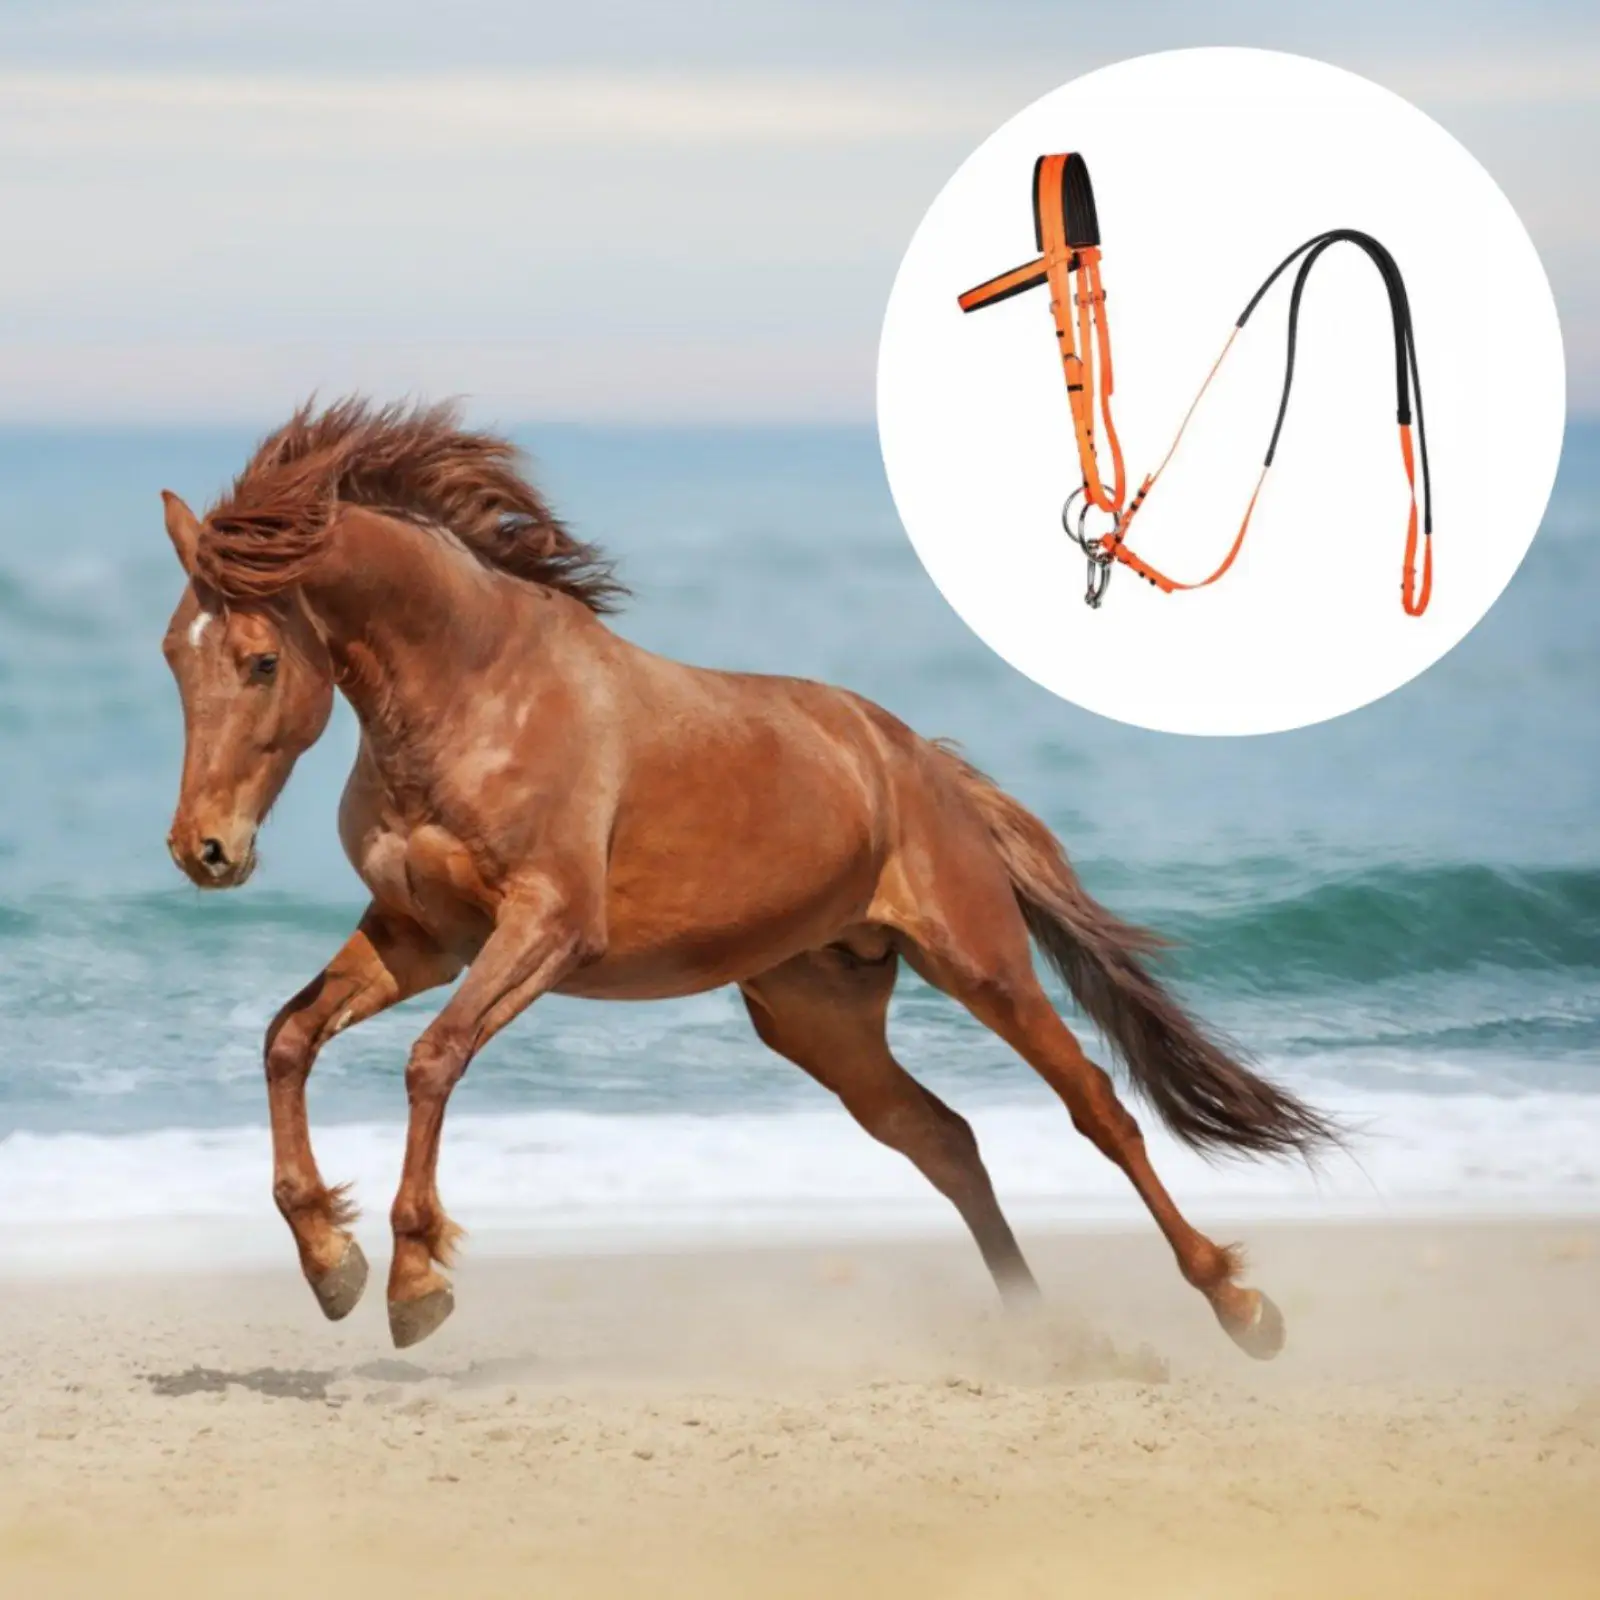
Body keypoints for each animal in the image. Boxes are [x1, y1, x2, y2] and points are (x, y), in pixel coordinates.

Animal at [160, 397, 1335, 1352]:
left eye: (261, 660)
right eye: (175, 653)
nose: (203, 850)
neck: (476, 694)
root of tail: (921, 762)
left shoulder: (545, 928)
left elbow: (431, 1059)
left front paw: (412, 1282)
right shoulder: (422, 936)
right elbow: (288, 1040)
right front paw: (331, 1264)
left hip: (981, 963)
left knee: (1098, 1107)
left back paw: (1240, 1304)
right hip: (819, 1013)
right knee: (942, 1138)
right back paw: (1037, 1327)